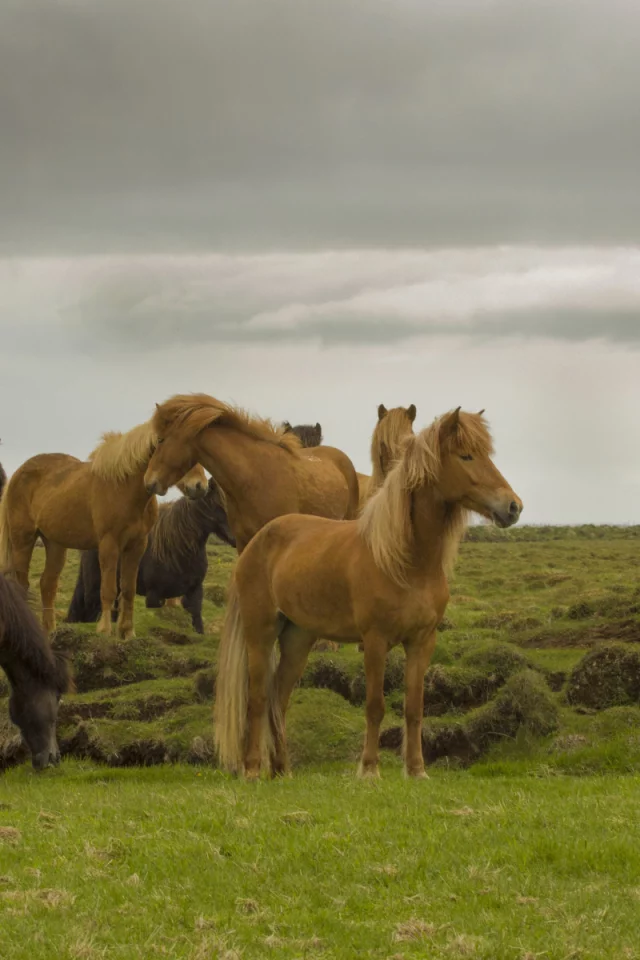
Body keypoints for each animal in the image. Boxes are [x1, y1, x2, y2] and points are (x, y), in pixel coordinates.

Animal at [0, 422, 206, 636]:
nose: (200, 486)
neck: (124, 487)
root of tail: (18, 473)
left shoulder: (137, 545)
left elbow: (128, 589)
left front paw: (127, 631)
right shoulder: (109, 543)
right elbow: (108, 589)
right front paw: (105, 629)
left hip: (55, 544)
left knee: (48, 584)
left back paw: (49, 630)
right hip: (23, 540)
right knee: (22, 584)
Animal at [67, 476, 235, 632]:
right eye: (217, 504)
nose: (235, 537)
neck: (177, 550)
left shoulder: (194, 592)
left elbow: (197, 621)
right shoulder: (155, 596)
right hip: (95, 588)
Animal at [212, 406, 524, 780]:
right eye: (466, 456)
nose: (513, 507)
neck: (404, 561)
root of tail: (258, 541)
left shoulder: (422, 641)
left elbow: (414, 707)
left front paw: (416, 770)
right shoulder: (375, 640)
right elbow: (375, 706)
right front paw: (370, 770)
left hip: (298, 638)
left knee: (278, 698)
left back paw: (283, 770)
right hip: (260, 632)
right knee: (257, 697)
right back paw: (252, 770)